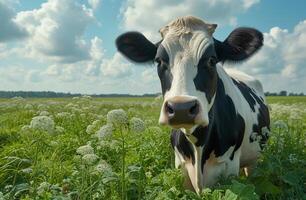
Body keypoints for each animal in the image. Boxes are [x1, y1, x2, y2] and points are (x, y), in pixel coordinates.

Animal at [115, 14, 270, 193]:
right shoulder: (180, 166)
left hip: (254, 159)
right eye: (158, 61)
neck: (198, 146)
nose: (181, 108)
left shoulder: (230, 167)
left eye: (212, 60)